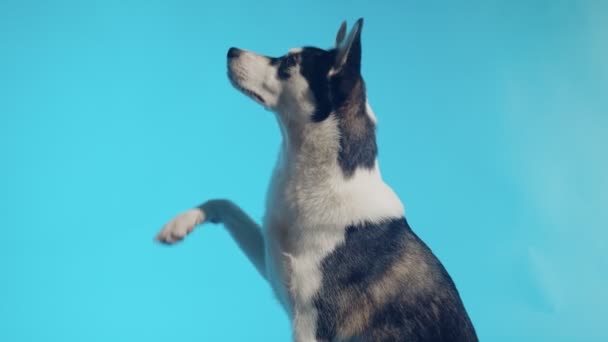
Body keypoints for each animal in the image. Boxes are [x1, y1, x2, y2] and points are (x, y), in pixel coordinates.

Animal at [154, 19, 478, 342]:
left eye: (289, 63)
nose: (231, 51)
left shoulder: (312, 323)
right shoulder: (273, 263)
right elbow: (226, 203)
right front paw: (179, 224)